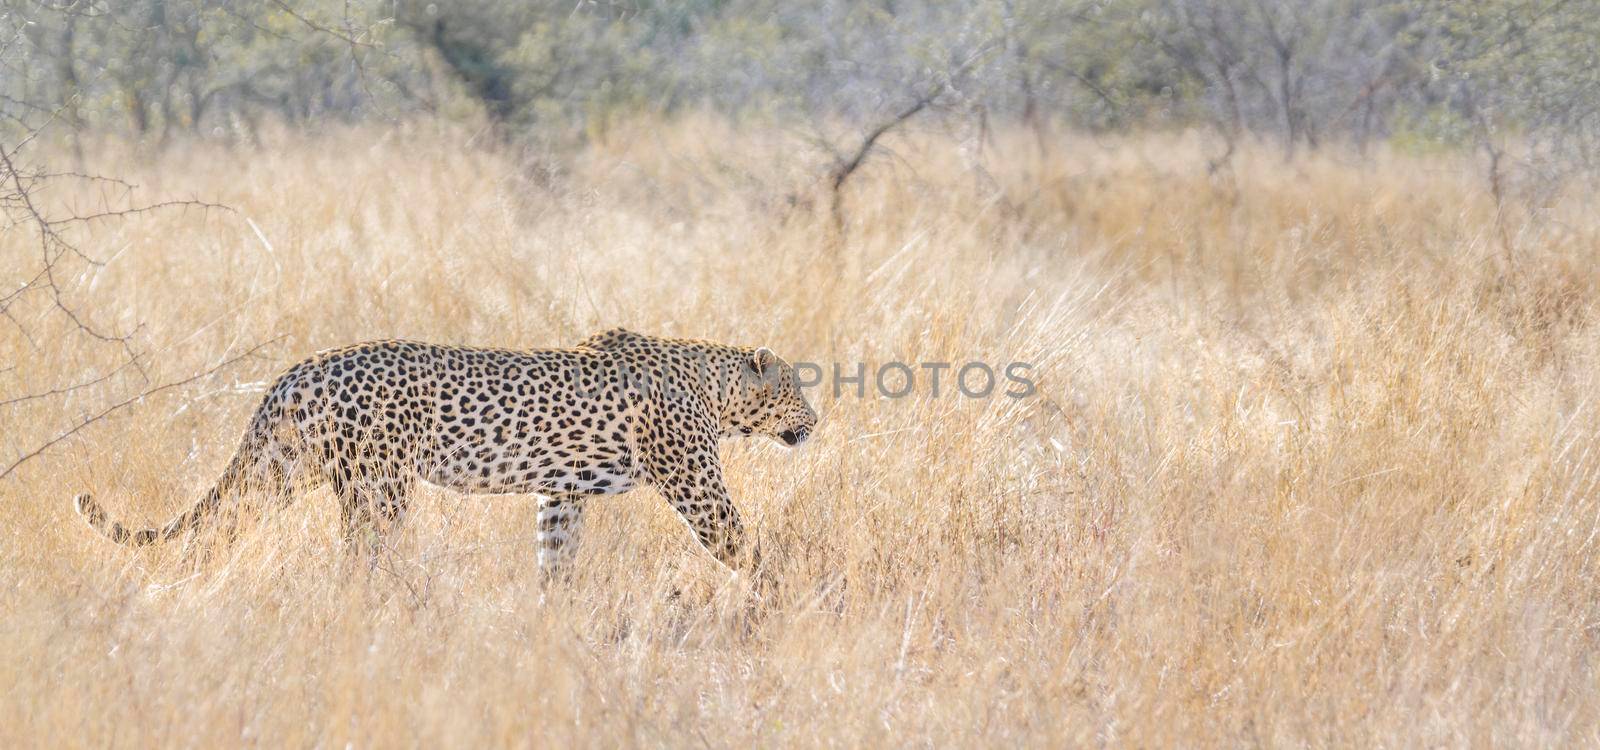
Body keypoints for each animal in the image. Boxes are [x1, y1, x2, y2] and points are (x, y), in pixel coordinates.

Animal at [70, 324, 819, 575]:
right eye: (795, 387)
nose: (816, 419)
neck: (715, 386)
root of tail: (305, 366)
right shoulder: (695, 484)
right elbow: (743, 547)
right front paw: (788, 595)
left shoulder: (561, 492)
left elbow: (555, 558)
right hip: (379, 486)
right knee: (361, 557)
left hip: (282, 470)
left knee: (217, 532)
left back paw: (182, 596)